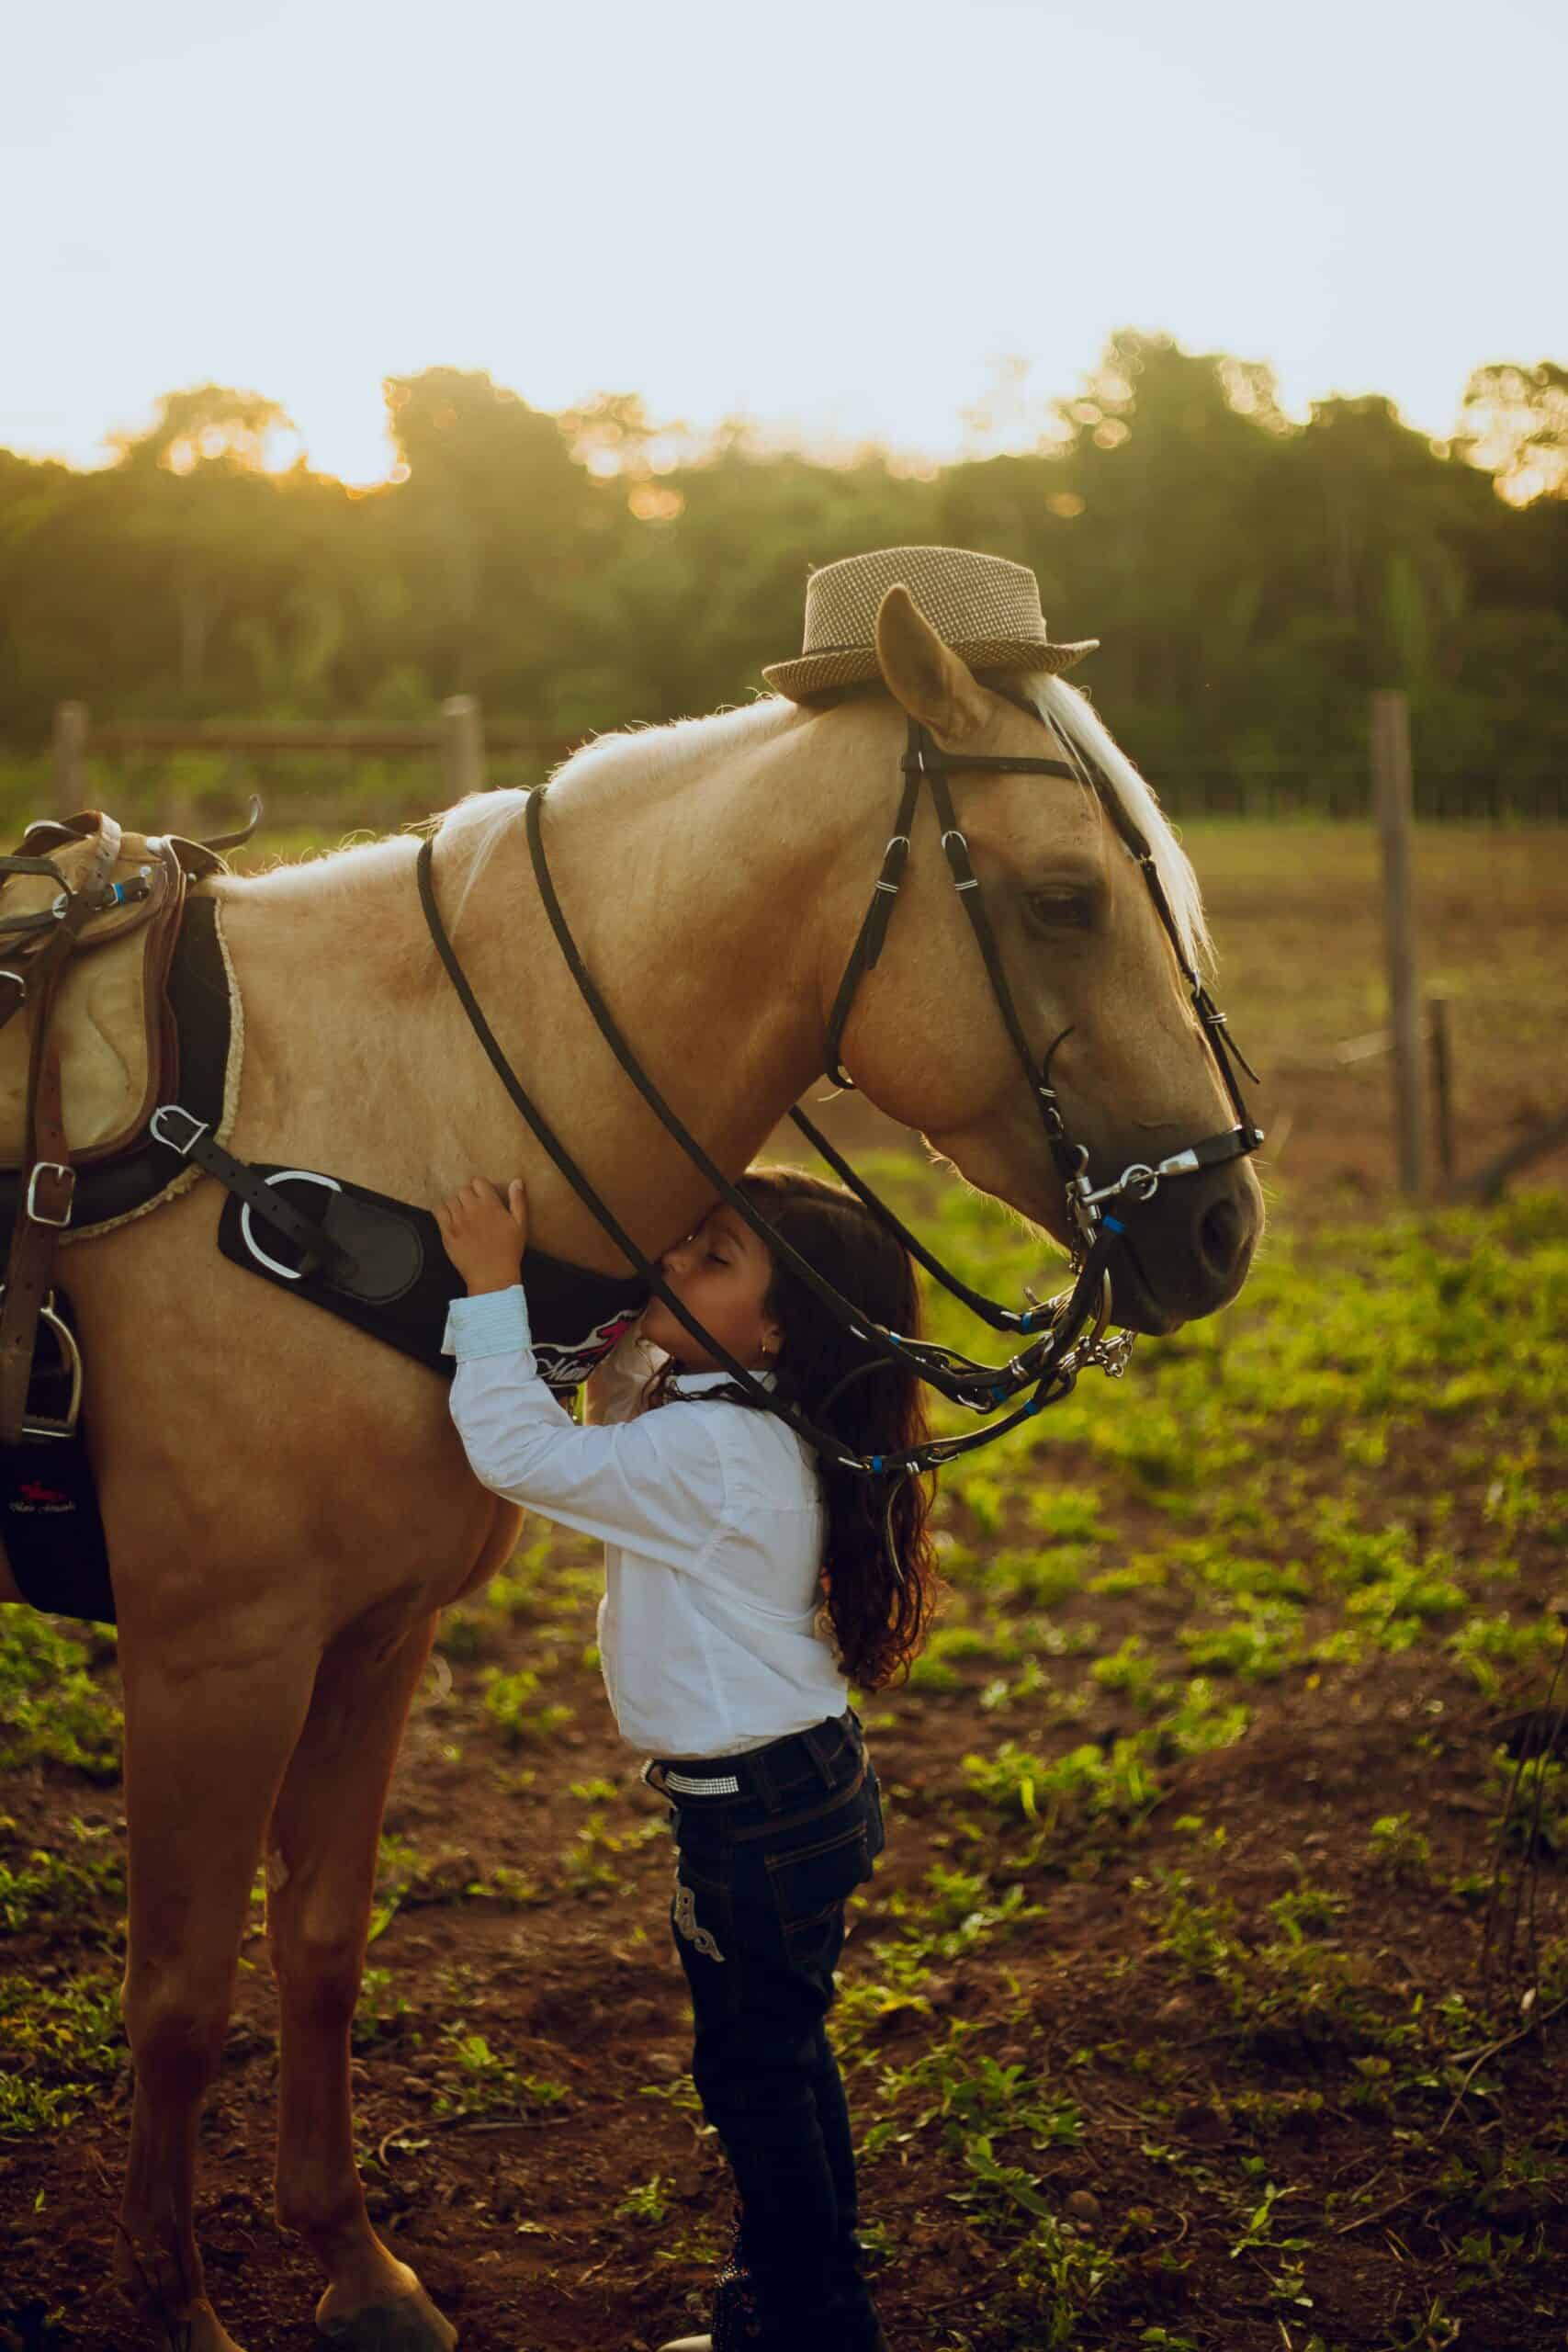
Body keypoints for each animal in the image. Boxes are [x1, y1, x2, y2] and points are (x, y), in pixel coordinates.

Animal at [0, 588, 1263, 2351]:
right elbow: (178, 1998)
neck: (358, 1134)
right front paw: (178, 2313)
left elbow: (317, 1942)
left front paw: (355, 2267)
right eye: (1067, 900)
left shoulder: (373, 1635)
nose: (1218, 1226)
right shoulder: (214, 1657)